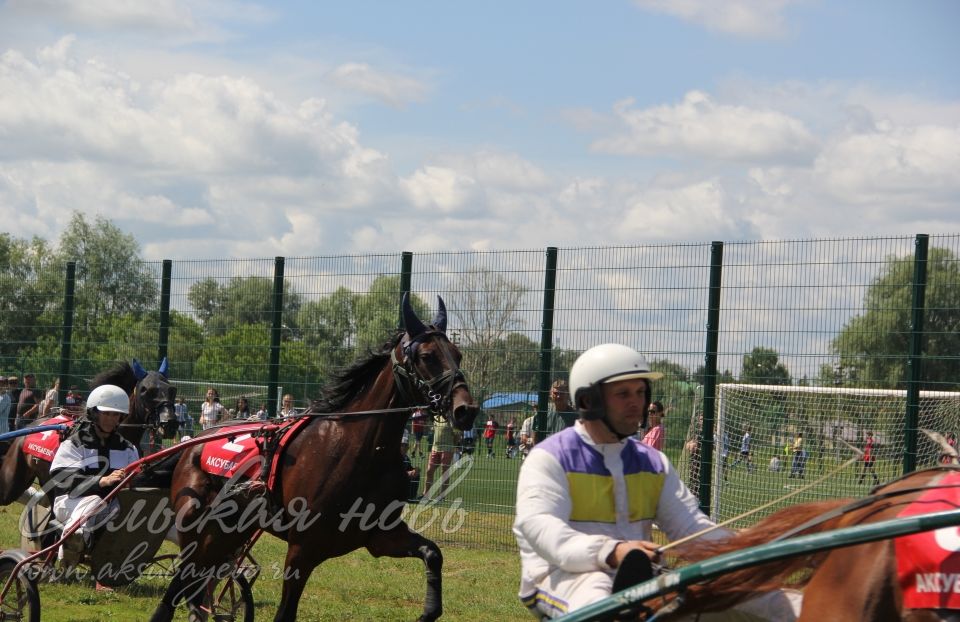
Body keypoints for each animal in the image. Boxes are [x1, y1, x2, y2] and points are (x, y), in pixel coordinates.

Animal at [150, 296, 480, 622]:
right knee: (179, 584)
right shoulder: (302, 549)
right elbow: (285, 613)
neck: (360, 450)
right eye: (426, 355)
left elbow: (433, 553)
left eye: (458, 355)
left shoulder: (379, 535)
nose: (466, 409)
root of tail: (192, 444)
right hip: (197, 527)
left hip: (227, 532)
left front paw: (429, 610)